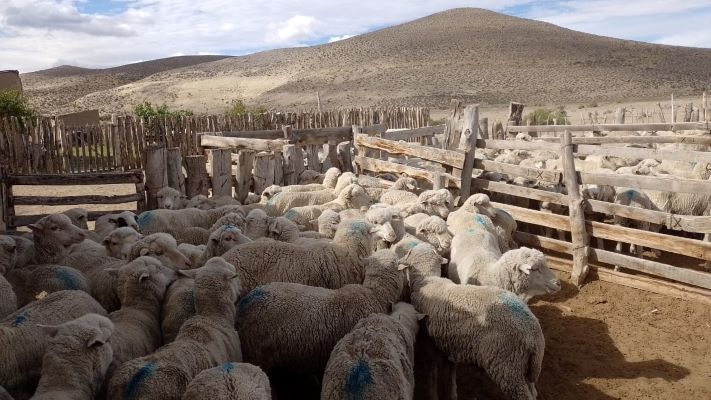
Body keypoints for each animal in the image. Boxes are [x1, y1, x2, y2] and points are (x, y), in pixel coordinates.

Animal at [400, 242, 544, 400]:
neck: (427, 281)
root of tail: (535, 334)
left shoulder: (430, 344)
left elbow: (432, 374)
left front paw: (432, 395)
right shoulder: (448, 345)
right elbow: (449, 374)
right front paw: (452, 393)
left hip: (508, 364)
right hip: (524, 366)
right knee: (532, 390)